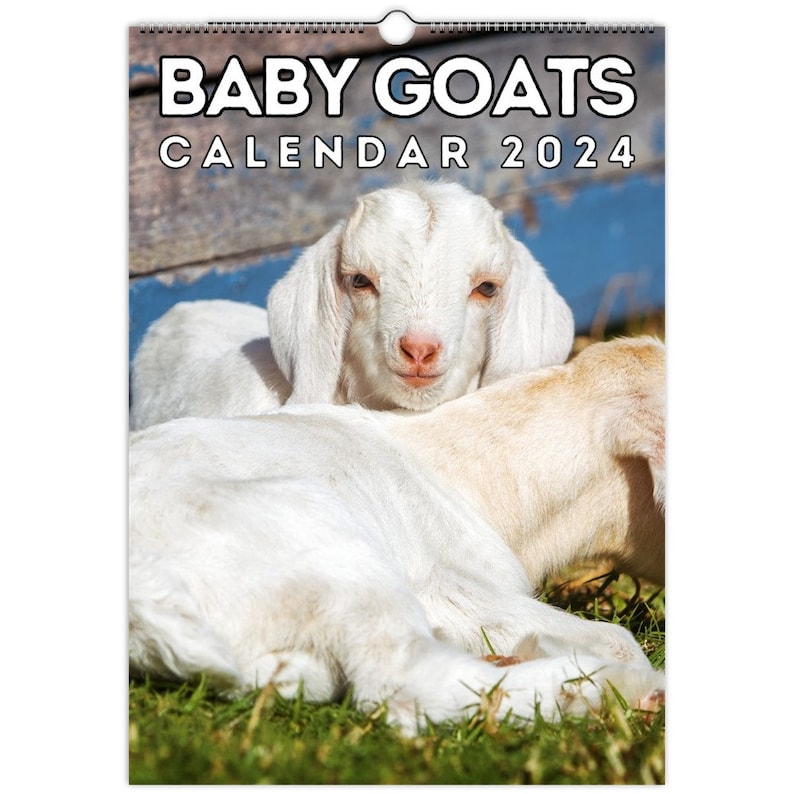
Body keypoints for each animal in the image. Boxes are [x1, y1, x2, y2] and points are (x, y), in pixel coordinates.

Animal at [129, 336, 665, 733]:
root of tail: (144, 606)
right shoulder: (446, 586)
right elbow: (617, 637)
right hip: (329, 551)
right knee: (406, 680)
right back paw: (613, 689)